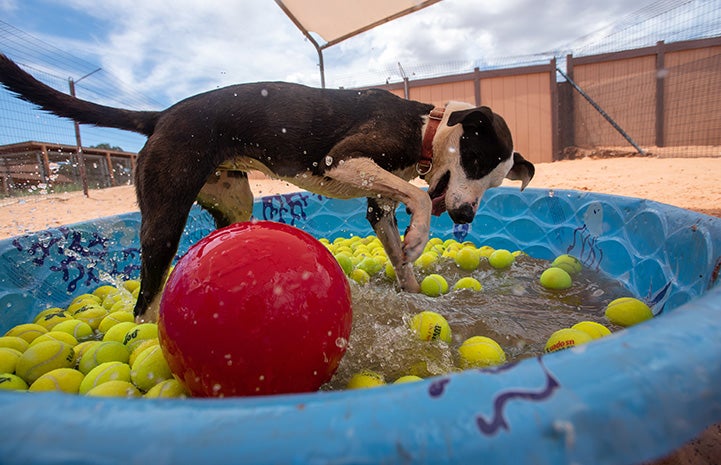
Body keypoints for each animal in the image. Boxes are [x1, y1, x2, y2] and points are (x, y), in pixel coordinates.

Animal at [0, 54, 532, 320]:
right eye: (475, 159)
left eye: (495, 182)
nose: (464, 216)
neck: (426, 125)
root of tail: (162, 115)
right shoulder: (341, 159)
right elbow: (420, 195)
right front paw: (419, 237)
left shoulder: (379, 205)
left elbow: (400, 251)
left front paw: (413, 284)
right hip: (164, 220)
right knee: (143, 302)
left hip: (234, 202)